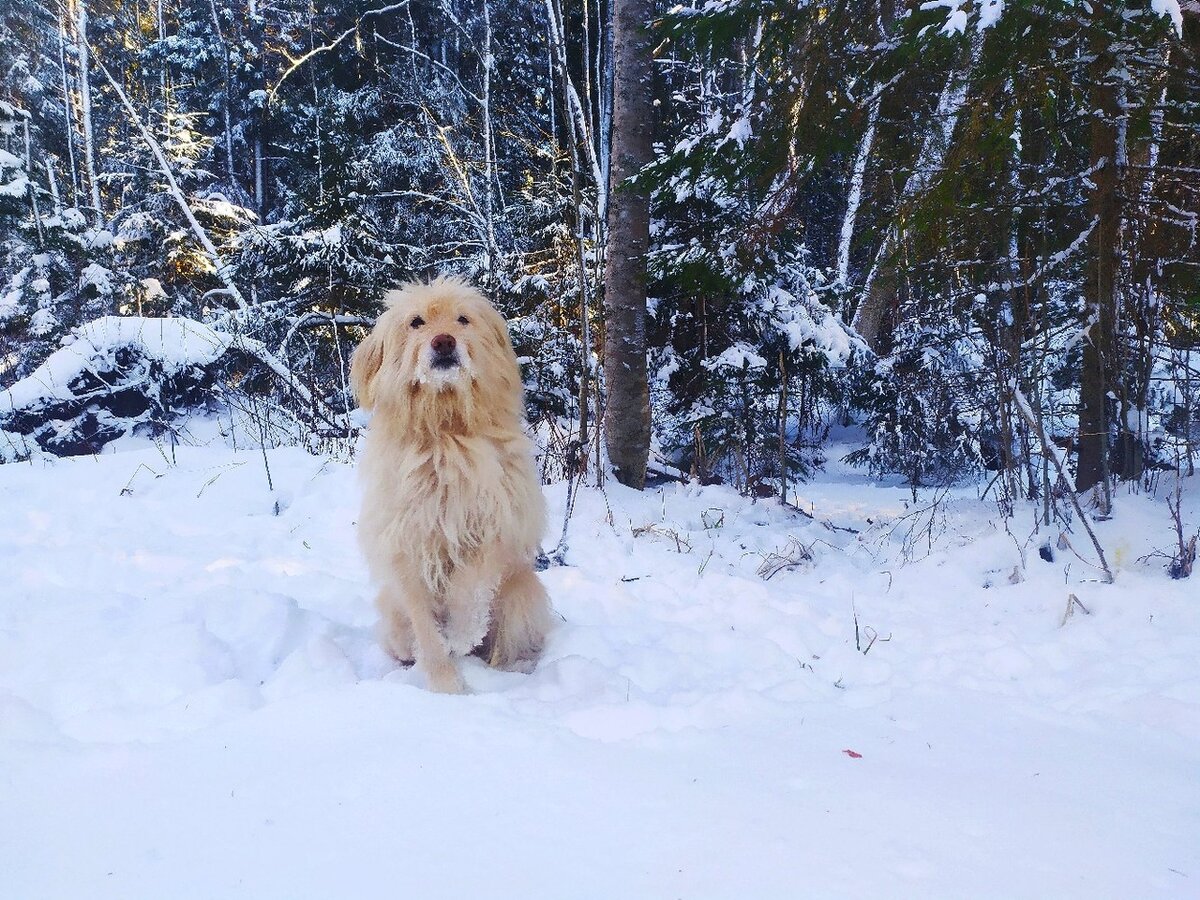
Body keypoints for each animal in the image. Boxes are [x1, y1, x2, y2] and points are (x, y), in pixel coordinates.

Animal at [350, 278, 549, 696]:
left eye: (462, 319)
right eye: (416, 322)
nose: (443, 342)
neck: (445, 431)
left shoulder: (496, 522)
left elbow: (470, 588)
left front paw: (460, 634)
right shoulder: (406, 545)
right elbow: (426, 628)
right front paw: (446, 686)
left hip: (523, 595)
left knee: (506, 644)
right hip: (390, 612)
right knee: (404, 639)